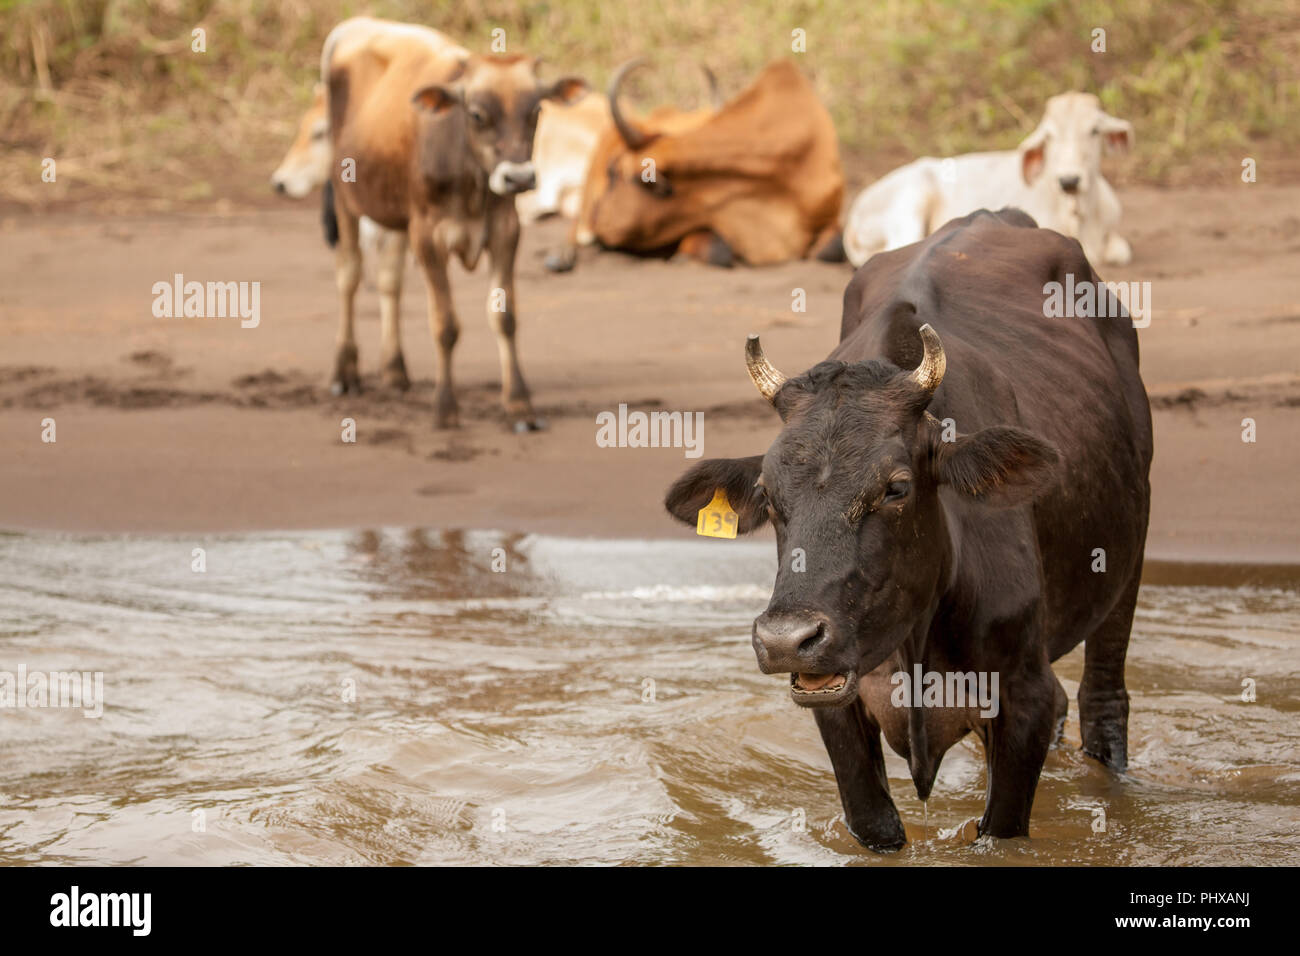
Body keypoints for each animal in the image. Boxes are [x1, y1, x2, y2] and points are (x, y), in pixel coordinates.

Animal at [320, 17, 586, 429]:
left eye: (536, 111)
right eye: (476, 114)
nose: (519, 178)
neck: (470, 177)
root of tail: (361, 23)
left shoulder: (505, 230)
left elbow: (505, 318)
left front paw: (519, 403)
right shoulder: (427, 235)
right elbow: (445, 325)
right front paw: (445, 407)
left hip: (395, 212)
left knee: (389, 281)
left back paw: (395, 370)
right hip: (346, 197)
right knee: (349, 277)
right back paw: (343, 373)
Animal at [664, 208, 1152, 850]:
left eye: (896, 487)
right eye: (768, 495)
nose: (785, 640)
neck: (914, 640)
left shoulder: (1025, 696)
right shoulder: (835, 703)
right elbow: (874, 822)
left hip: (1130, 554)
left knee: (1103, 697)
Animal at [843, 93, 1135, 269]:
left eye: (1094, 131)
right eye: (1050, 136)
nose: (1069, 180)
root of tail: (856, 211)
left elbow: (1120, 253)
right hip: (912, 197)